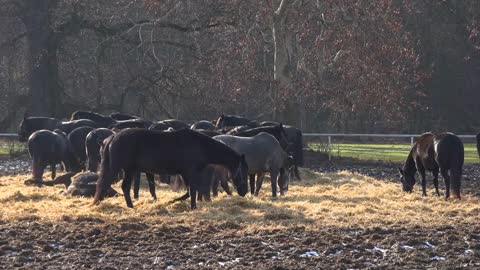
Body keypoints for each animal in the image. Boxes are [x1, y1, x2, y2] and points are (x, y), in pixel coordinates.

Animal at [94, 129, 251, 209]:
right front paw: (189, 206)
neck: (200, 146)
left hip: (127, 170)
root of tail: (112, 137)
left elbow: (189, 192)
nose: (244, 191)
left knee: (119, 186)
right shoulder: (191, 173)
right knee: (113, 185)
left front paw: (172, 202)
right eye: (243, 171)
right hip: (120, 169)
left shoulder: (186, 174)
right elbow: (192, 191)